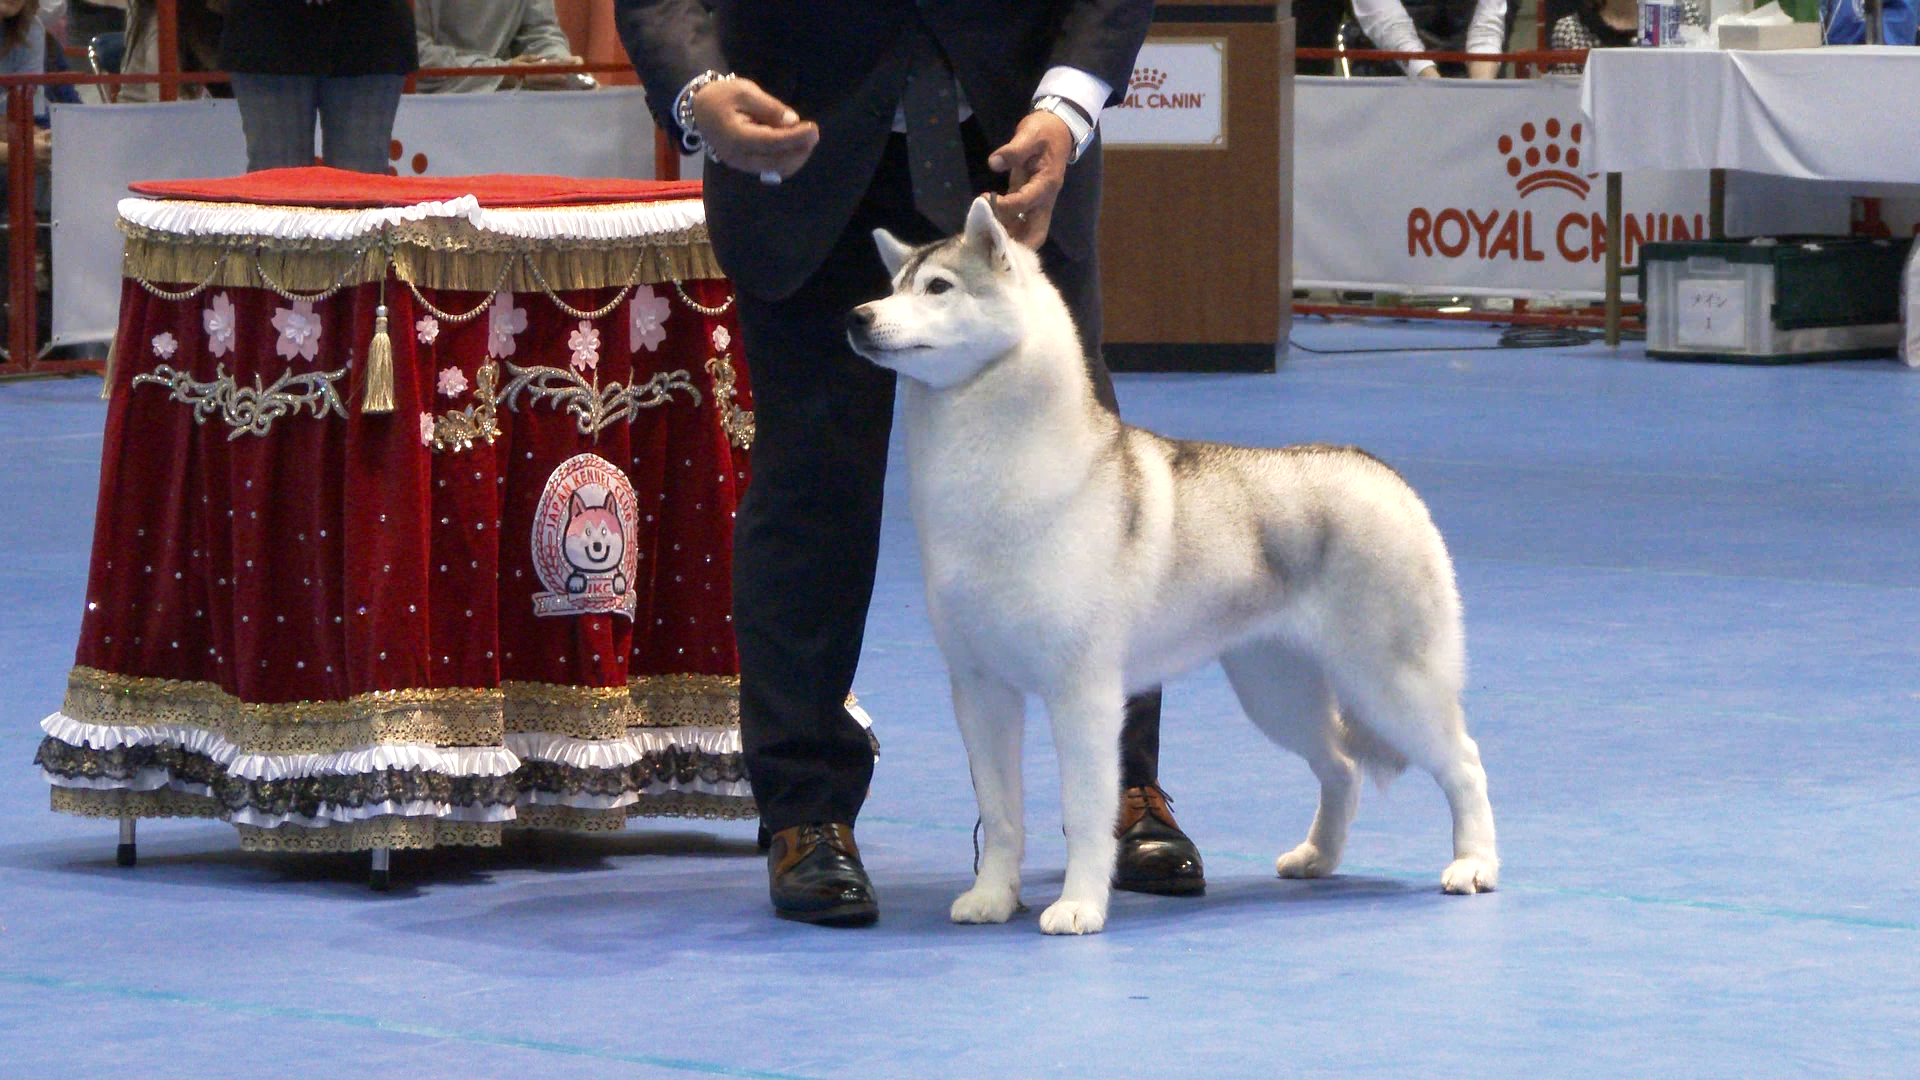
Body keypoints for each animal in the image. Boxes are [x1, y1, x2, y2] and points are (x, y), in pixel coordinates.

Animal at [844, 195, 1497, 933]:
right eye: (893, 286)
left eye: (938, 288)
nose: (857, 316)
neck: (989, 477)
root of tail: (1382, 472)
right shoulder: (981, 689)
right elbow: (1002, 811)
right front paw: (992, 897)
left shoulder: (1085, 695)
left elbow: (1084, 812)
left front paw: (1078, 906)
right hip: (1276, 692)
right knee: (1339, 766)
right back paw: (1317, 857)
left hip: (1389, 683)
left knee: (1464, 762)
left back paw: (1474, 865)